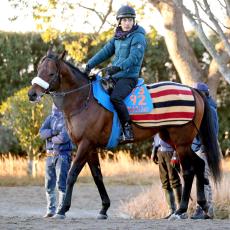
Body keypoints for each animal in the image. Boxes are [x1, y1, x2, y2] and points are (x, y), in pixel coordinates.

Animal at [27, 49, 222, 219]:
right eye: (38, 70)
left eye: (51, 73)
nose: (32, 94)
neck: (84, 99)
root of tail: (193, 90)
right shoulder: (91, 148)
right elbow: (97, 177)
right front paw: (104, 208)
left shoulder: (85, 145)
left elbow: (71, 175)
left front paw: (62, 209)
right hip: (175, 140)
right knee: (199, 165)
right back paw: (202, 205)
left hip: (180, 143)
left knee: (189, 171)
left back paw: (181, 210)